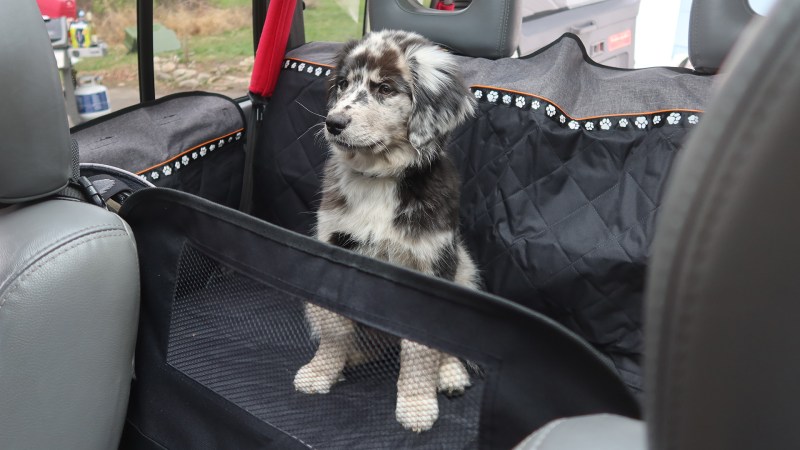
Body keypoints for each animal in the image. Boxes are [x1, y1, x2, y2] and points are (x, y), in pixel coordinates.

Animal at [294, 29, 482, 432]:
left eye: (384, 89)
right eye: (343, 84)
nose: (333, 123)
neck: (378, 178)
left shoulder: (430, 265)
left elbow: (420, 347)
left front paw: (416, 405)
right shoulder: (333, 246)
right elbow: (335, 329)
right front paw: (321, 372)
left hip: (463, 268)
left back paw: (450, 374)